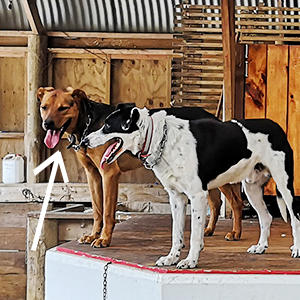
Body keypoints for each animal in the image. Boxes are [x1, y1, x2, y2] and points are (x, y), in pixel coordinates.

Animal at [37, 86, 244, 246]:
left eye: (64, 108)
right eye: (44, 107)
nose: (47, 124)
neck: (88, 122)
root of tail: (216, 119)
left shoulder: (109, 173)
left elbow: (107, 212)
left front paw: (104, 239)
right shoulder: (92, 174)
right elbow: (97, 210)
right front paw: (93, 235)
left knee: (236, 202)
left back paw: (236, 233)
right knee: (216, 202)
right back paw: (208, 229)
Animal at [84, 106, 300, 270]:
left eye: (107, 126)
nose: (84, 141)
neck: (160, 139)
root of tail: (276, 126)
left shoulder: (197, 196)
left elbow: (195, 235)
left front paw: (190, 261)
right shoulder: (177, 197)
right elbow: (176, 233)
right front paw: (172, 258)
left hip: (284, 185)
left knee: (295, 218)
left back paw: (296, 249)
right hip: (251, 188)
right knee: (266, 217)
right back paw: (261, 246)